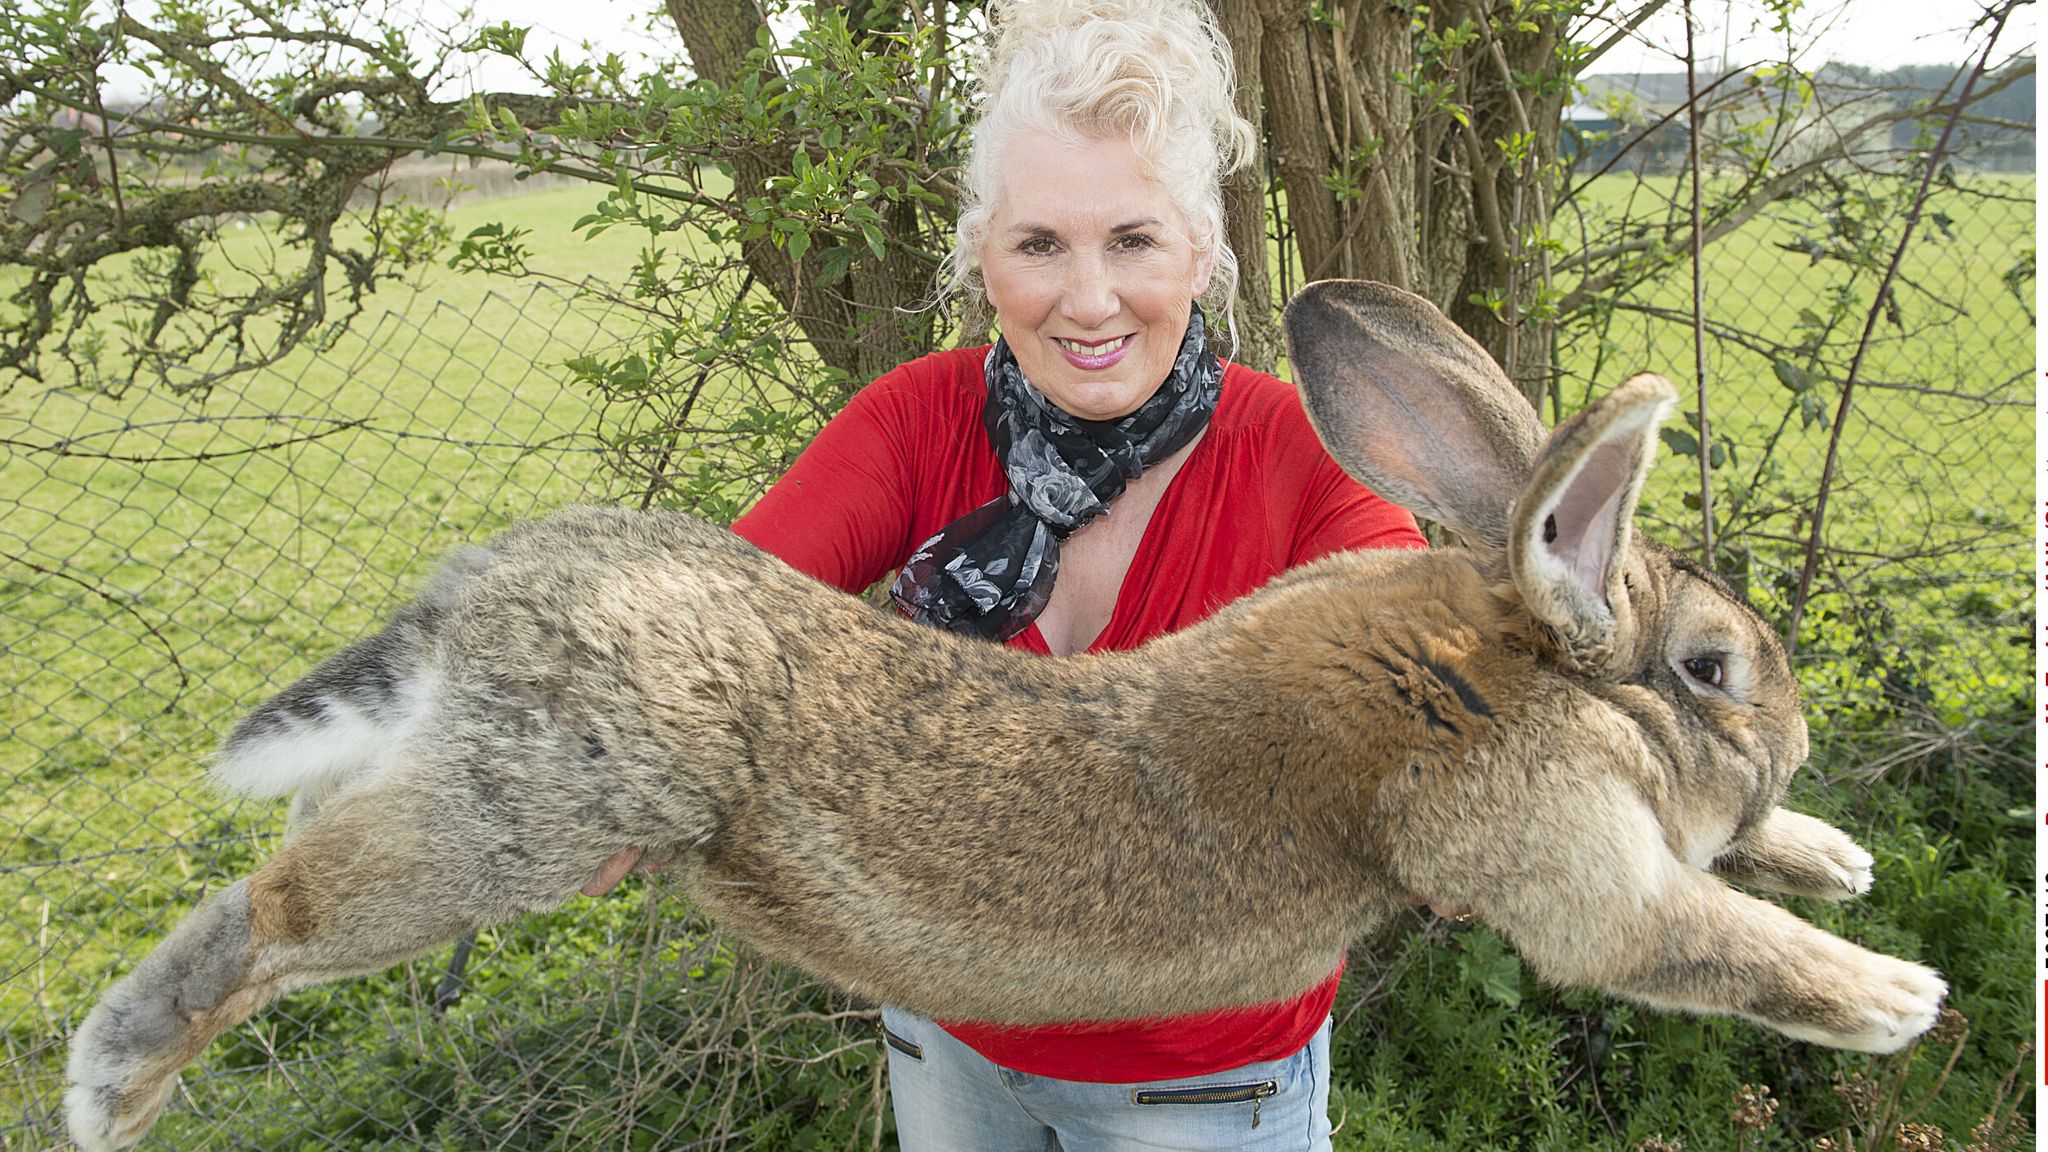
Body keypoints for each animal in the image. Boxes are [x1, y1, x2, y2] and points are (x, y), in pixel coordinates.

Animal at [68, 280, 1949, 1147]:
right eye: (1711, 669)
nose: (1790, 741)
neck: (1507, 660)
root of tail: (479, 594)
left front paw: (1834, 854)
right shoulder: (1560, 857)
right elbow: (1694, 938)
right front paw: (1891, 994)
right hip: (527, 819)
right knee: (276, 911)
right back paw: (111, 1084)